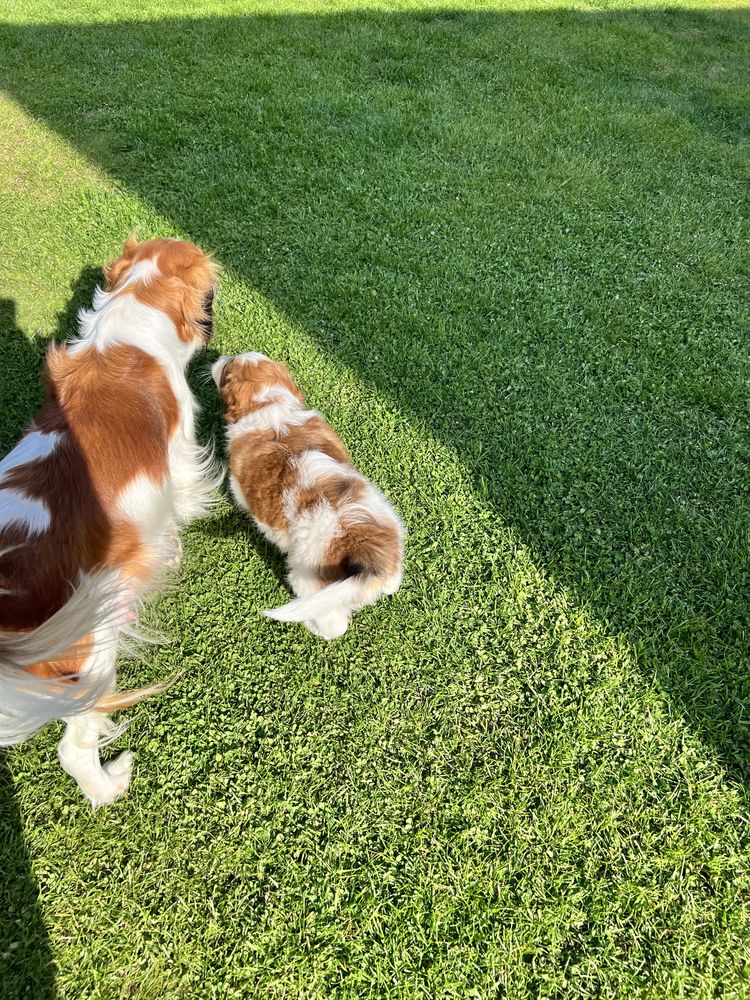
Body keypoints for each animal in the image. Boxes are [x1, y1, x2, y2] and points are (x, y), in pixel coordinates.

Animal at [212, 354, 406, 640]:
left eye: (226, 370)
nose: (219, 357)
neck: (272, 403)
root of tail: (365, 547)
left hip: (308, 578)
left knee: (334, 624)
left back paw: (313, 626)